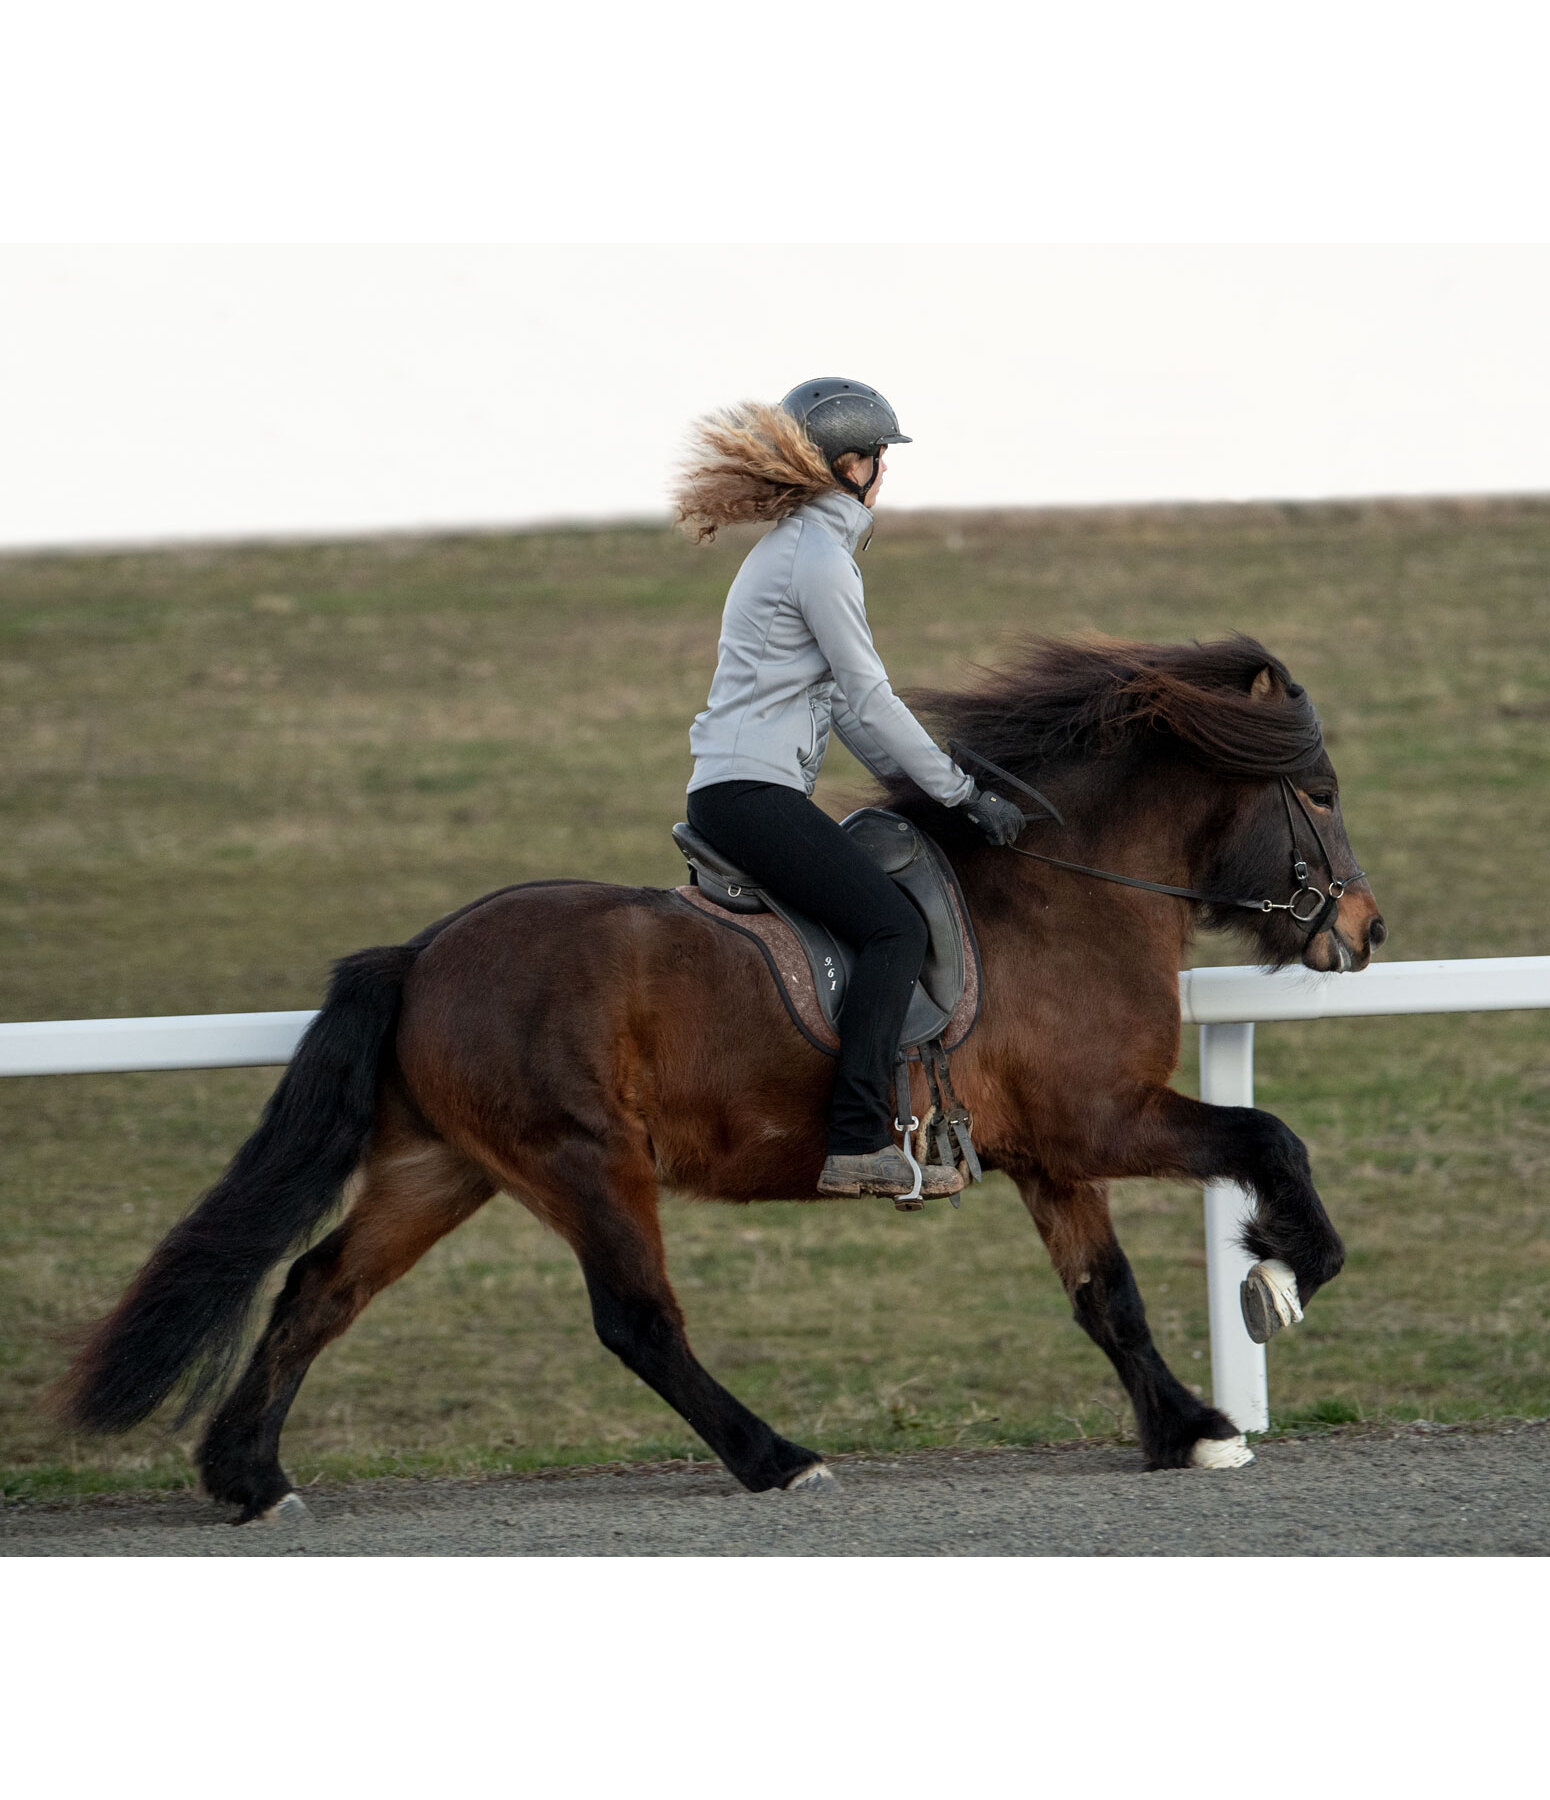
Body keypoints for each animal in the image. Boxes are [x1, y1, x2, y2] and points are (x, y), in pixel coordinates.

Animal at [57, 633, 1375, 1519]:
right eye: (1316, 795)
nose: (1361, 930)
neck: (1063, 895)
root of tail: (424, 951)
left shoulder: (1049, 1153)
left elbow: (1107, 1297)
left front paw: (1186, 1427)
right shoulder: (1100, 1119)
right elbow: (1268, 1138)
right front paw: (1277, 1279)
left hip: (441, 1171)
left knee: (318, 1288)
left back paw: (247, 1474)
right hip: (583, 1163)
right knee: (637, 1321)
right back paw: (776, 1457)